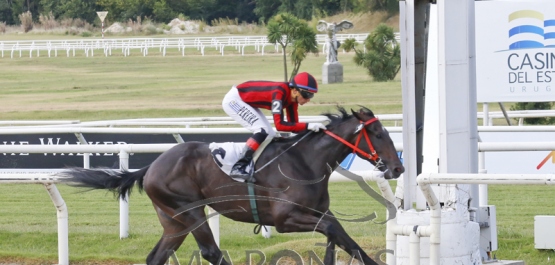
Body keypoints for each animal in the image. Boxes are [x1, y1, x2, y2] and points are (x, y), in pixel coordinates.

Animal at [59, 106, 404, 264]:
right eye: (378, 134)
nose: (398, 166)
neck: (306, 161)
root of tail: (152, 165)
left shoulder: (318, 213)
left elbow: (342, 237)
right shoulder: (285, 219)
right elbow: (335, 230)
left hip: (173, 221)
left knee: (157, 256)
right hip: (189, 210)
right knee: (210, 250)